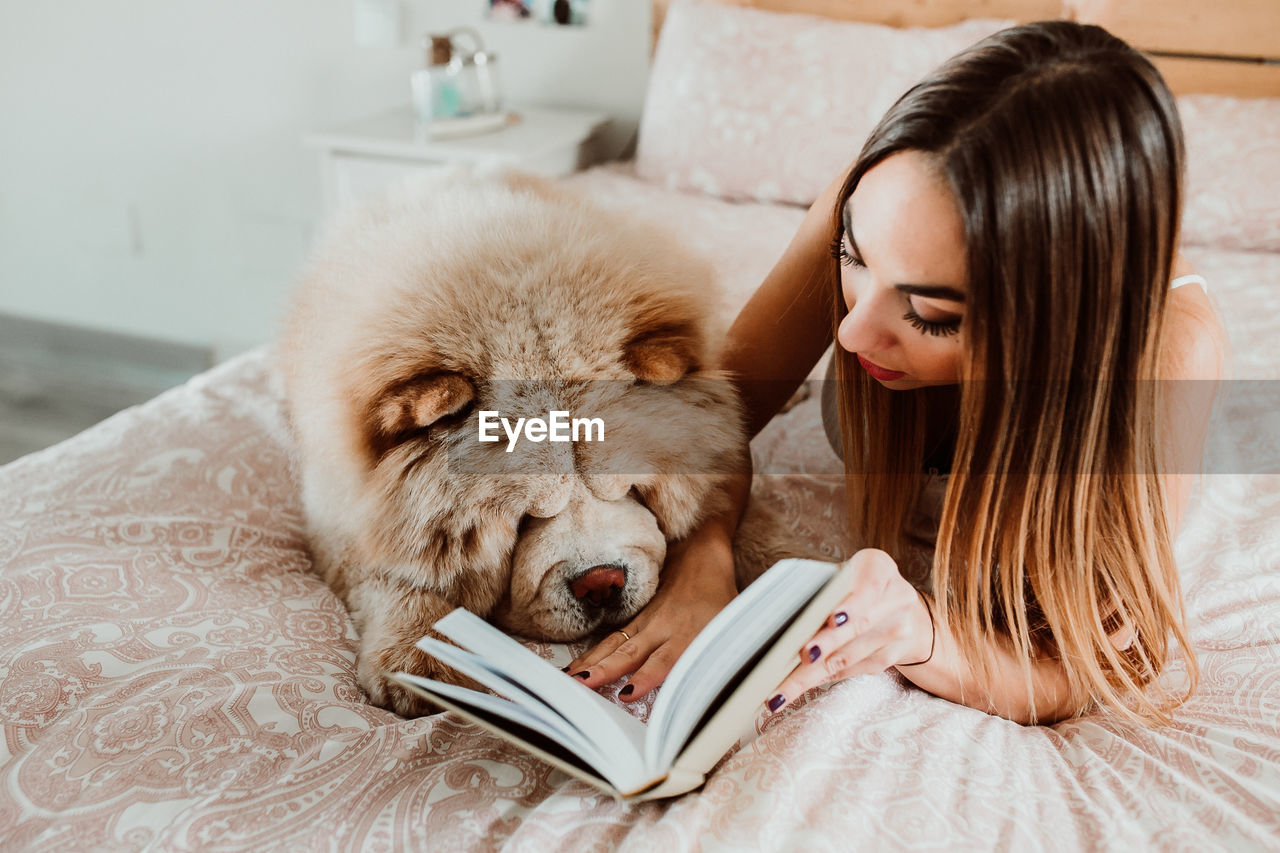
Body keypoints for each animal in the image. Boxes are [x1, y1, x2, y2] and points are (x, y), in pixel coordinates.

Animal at [282, 169, 788, 712]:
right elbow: (393, 574)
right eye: (526, 519)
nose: (601, 583)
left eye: (630, 489)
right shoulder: (339, 514)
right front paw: (418, 659)